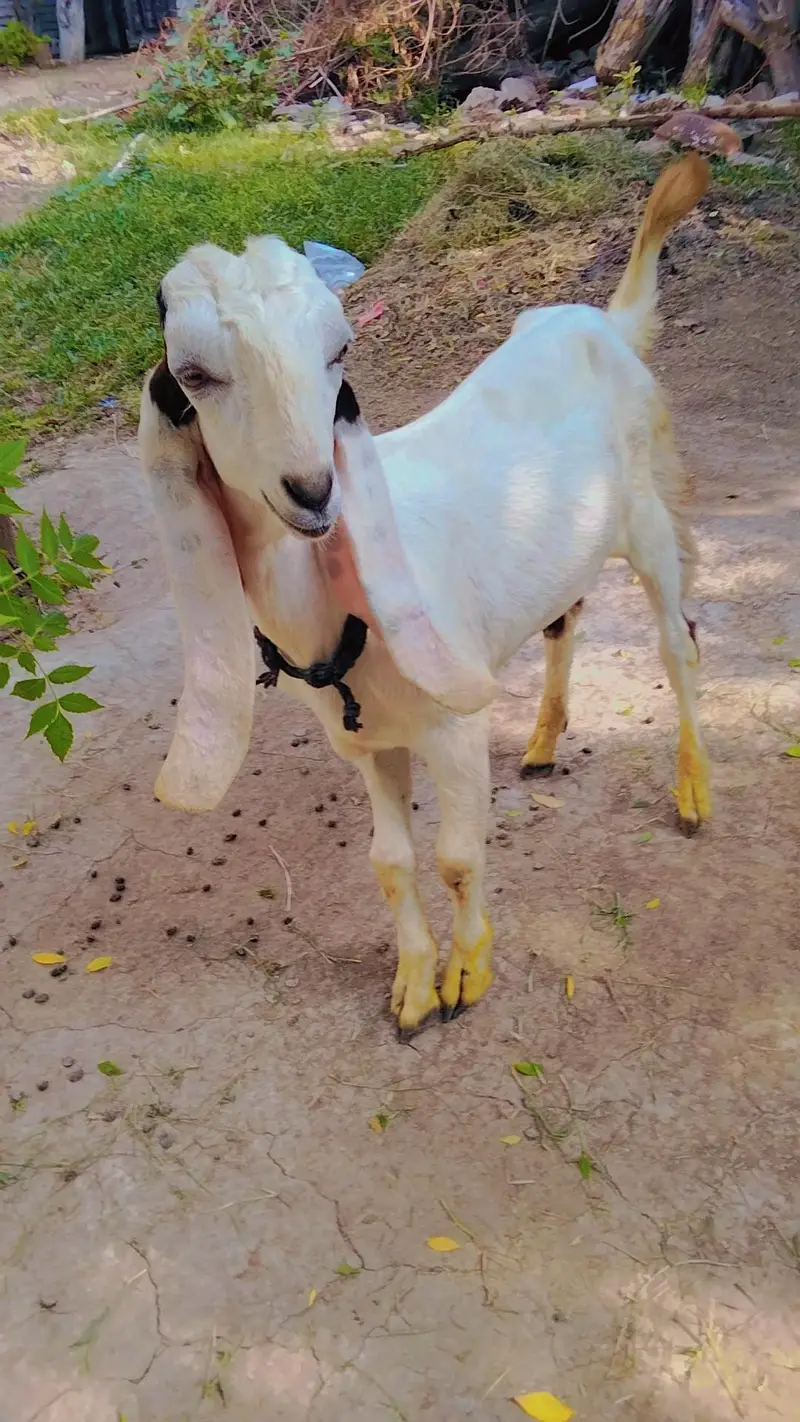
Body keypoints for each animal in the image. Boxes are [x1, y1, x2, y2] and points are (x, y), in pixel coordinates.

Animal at [139, 153, 711, 1037]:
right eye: (194, 375)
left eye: (340, 350)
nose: (314, 490)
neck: (336, 607)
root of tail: (611, 326)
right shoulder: (365, 742)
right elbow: (391, 862)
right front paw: (411, 986)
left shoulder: (454, 728)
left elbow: (455, 857)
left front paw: (465, 976)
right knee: (565, 618)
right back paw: (543, 742)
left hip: (650, 510)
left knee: (677, 641)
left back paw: (690, 792)